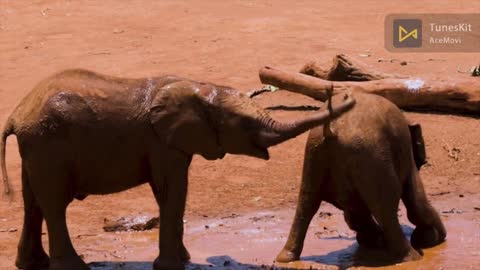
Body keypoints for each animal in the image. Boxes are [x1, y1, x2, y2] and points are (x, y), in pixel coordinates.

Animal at [0, 69, 356, 270]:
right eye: (243, 123)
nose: (343, 97)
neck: (201, 89)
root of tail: (16, 114)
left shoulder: (174, 141)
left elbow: (171, 193)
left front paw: (183, 260)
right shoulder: (161, 142)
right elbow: (172, 190)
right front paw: (173, 265)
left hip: (38, 147)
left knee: (33, 204)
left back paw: (32, 264)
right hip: (49, 145)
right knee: (54, 205)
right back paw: (74, 267)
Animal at [276, 92, 448, 264]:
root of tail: (332, 128)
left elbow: (353, 212)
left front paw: (374, 240)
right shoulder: (405, 155)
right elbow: (416, 201)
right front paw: (432, 239)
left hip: (315, 152)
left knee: (307, 203)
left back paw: (285, 258)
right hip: (370, 155)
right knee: (385, 207)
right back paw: (412, 257)